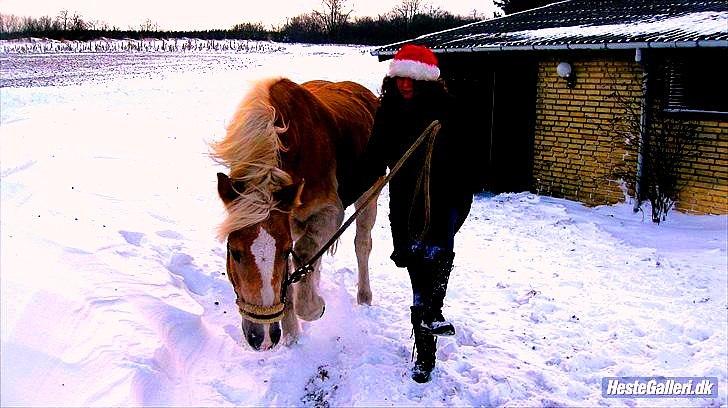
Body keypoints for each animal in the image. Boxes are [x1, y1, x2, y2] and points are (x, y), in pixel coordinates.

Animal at [210, 77, 382, 350]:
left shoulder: (330, 212)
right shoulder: (289, 221)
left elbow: (302, 254)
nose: (263, 337)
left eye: (283, 252)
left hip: (370, 193)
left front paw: (314, 307)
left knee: (362, 243)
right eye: (234, 252)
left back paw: (364, 296)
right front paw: (292, 336)